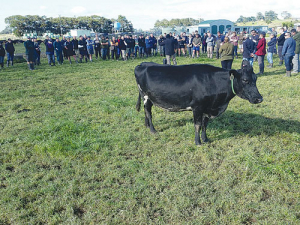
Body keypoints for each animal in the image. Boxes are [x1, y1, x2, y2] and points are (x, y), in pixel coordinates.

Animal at [135, 61, 264, 146]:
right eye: (245, 80)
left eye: (256, 79)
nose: (259, 99)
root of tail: (142, 64)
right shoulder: (197, 107)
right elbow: (197, 125)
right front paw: (198, 142)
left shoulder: (208, 108)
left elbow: (204, 125)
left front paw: (205, 139)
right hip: (146, 96)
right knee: (148, 112)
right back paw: (152, 130)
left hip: (148, 98)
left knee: (146, 111)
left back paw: (146, 125)